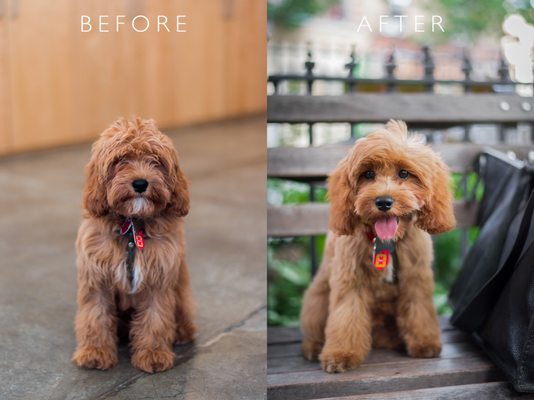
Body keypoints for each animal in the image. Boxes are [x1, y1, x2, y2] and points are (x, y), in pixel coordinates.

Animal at [72, 117, 196, 374]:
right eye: (121, 159)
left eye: (156, 160)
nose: (140, 183)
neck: (131, 227)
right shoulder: (96, 277)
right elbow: (95, 315)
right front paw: (95, 352)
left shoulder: (158, 279)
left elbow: (155, 318)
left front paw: (153, 353)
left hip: (181, 290)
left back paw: (182, 332)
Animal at [302, 120, 456, 374]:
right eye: (368, 174)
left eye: (404, 173)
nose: (383, 202)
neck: (386, 242)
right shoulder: (350, 280)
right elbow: (346, 317)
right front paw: (341, 354)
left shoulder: (416, 278)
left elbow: (420, 310)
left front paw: (425, 343)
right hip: (317, 299)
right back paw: (314, 348)